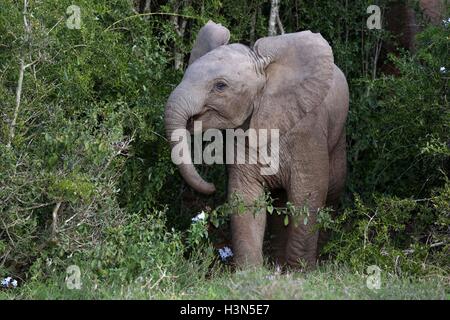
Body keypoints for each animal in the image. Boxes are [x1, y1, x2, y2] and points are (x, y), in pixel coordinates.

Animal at [164, 20, 348, 270]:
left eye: (220, 86)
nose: (211, 187)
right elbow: (246, 196)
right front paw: (250, 272)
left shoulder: (308, 131)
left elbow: (307, 196)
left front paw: (301, 272)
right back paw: (278, 265)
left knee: (332, 192)